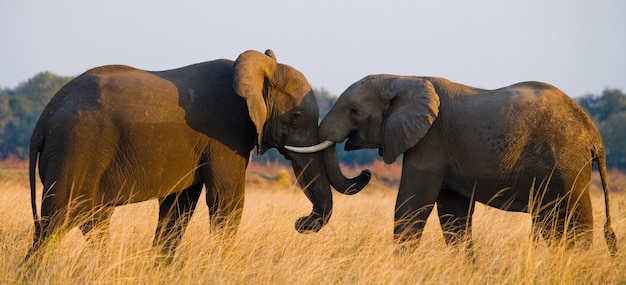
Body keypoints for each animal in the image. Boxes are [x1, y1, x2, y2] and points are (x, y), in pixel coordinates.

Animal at [26, 49, 370, 260]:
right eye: (296, 118)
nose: (301, 222)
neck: (258, 69)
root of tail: (43, 120)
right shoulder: (225, 134)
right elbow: (227, 201)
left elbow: (178, 208)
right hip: (75, 148)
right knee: (55, 221)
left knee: (93, 219)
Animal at [286, 74, 616, 255]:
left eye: (354, 111)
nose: (300, 223)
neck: (405, 77)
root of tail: (595, 135)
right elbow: (454, 217)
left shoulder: (430, 142)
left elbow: (411, 207)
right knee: (552, 223)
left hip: (567, 164)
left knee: (575, 220)